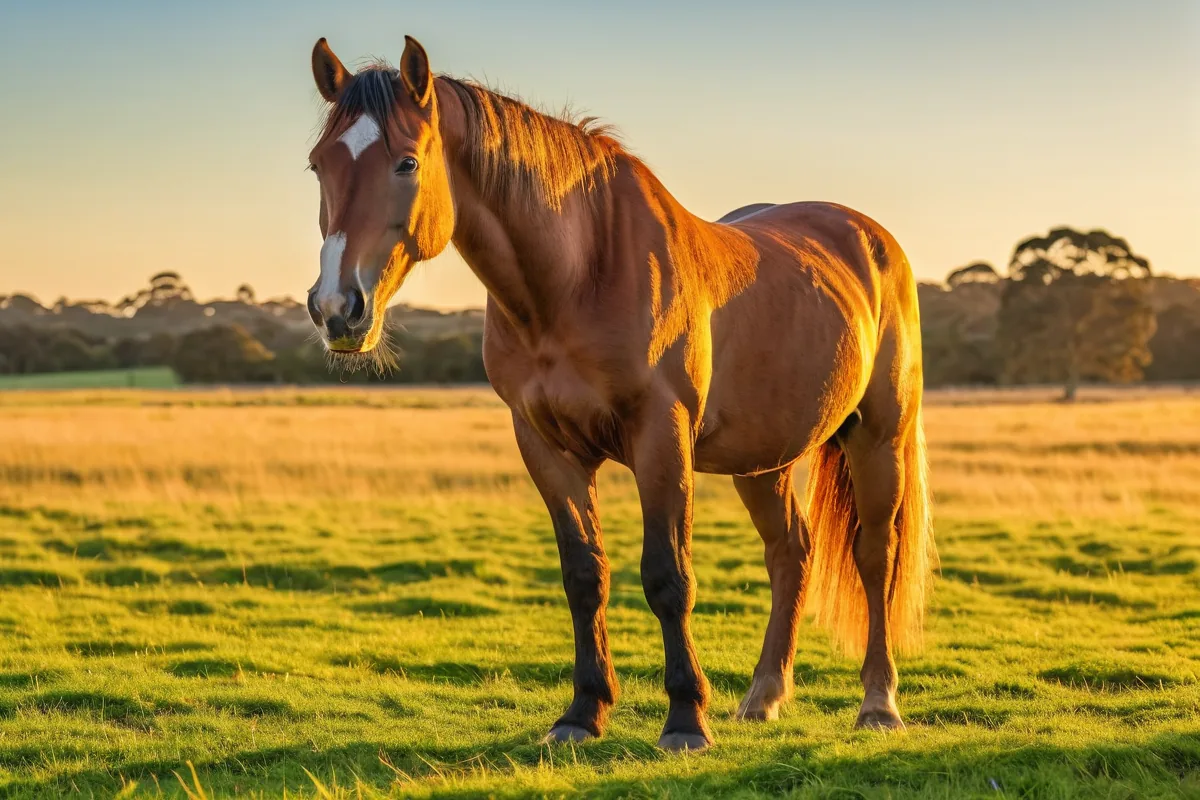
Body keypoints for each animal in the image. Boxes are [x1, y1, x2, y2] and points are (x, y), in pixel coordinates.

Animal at [304, 35, 935, 752]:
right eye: (319, 165)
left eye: (407, 161)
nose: (337, 309)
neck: (579, 275)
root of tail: (870, 238)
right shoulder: (546, 446)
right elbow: (585, 575)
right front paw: (583, 713)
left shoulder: (660, 437)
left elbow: (667, 575)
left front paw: (686, 719)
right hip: (762, 460)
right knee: (791, 554)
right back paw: (763, 697)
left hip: (878, 436)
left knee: (874, 555)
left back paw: (878, 704)